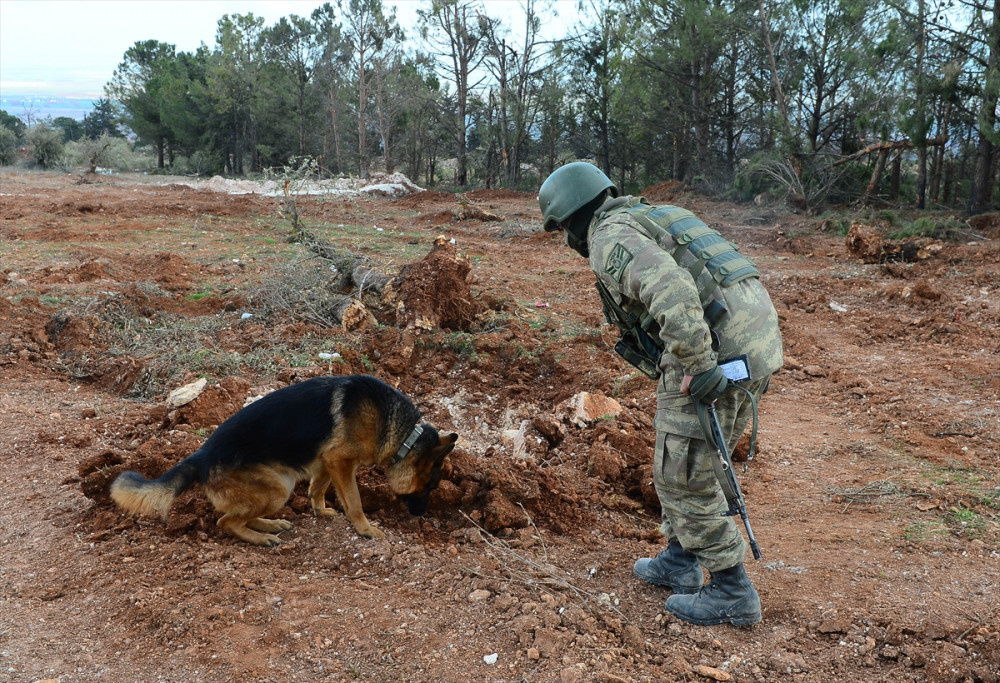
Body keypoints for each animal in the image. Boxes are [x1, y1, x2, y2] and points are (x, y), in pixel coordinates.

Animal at [108, 374, 458, 544]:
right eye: (429, 487)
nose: (422, 515)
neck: (404, 435)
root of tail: (202, 456)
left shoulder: (327, 461)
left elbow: (318, 487)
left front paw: (321, 510)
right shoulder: (341, 461)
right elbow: (355, 501)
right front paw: (365, 529)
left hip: (279, 486)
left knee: (240, 515)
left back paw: (270, 524)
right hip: (277, 488)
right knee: (226, 521)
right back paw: (260, 538)